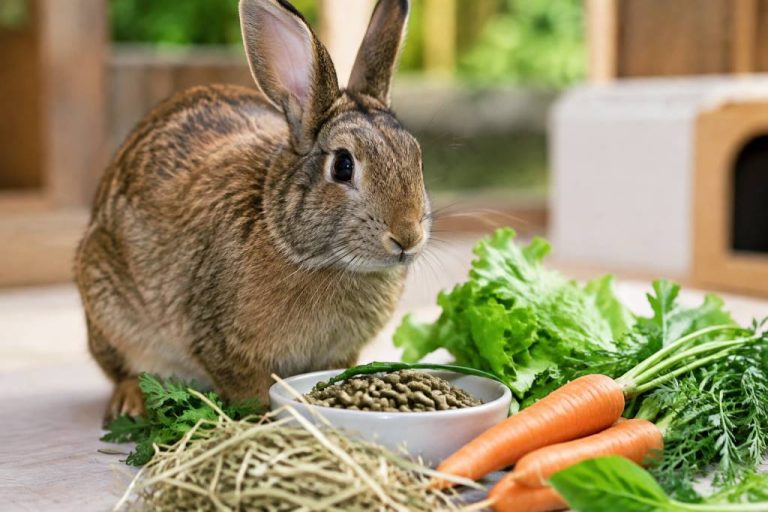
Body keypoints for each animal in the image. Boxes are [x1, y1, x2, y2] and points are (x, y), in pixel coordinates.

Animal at [75, 0, 429, 423]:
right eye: (343, 166)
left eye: (417, 157)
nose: (407, 236)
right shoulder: (222, 345)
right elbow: (249, 391)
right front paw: (263, 419)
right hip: (107, 306)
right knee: (122, 369)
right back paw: (130, 404)